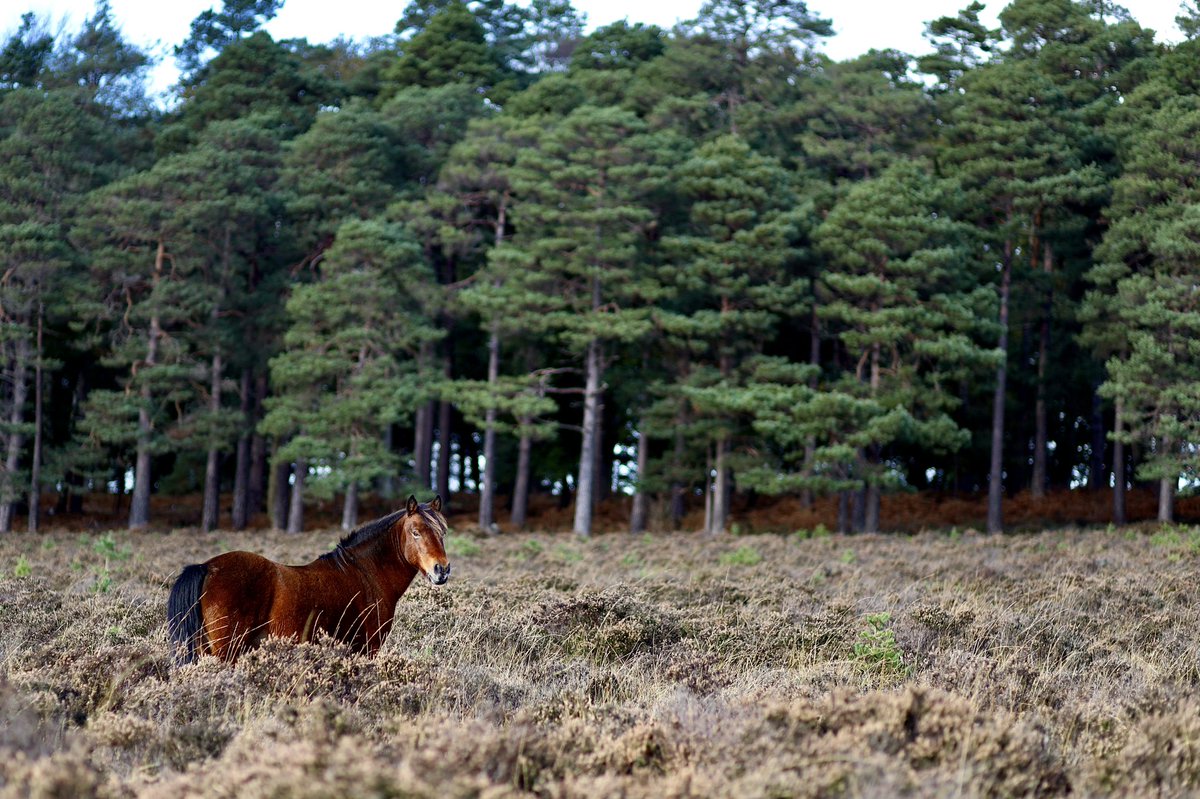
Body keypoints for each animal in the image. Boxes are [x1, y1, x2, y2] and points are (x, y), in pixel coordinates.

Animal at [166, 495, 450, 664]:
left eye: (442, 532)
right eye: (415, 532)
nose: (442, 570)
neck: (366, 573)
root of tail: (207, 567)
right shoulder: (367, 647)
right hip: (226, 650)